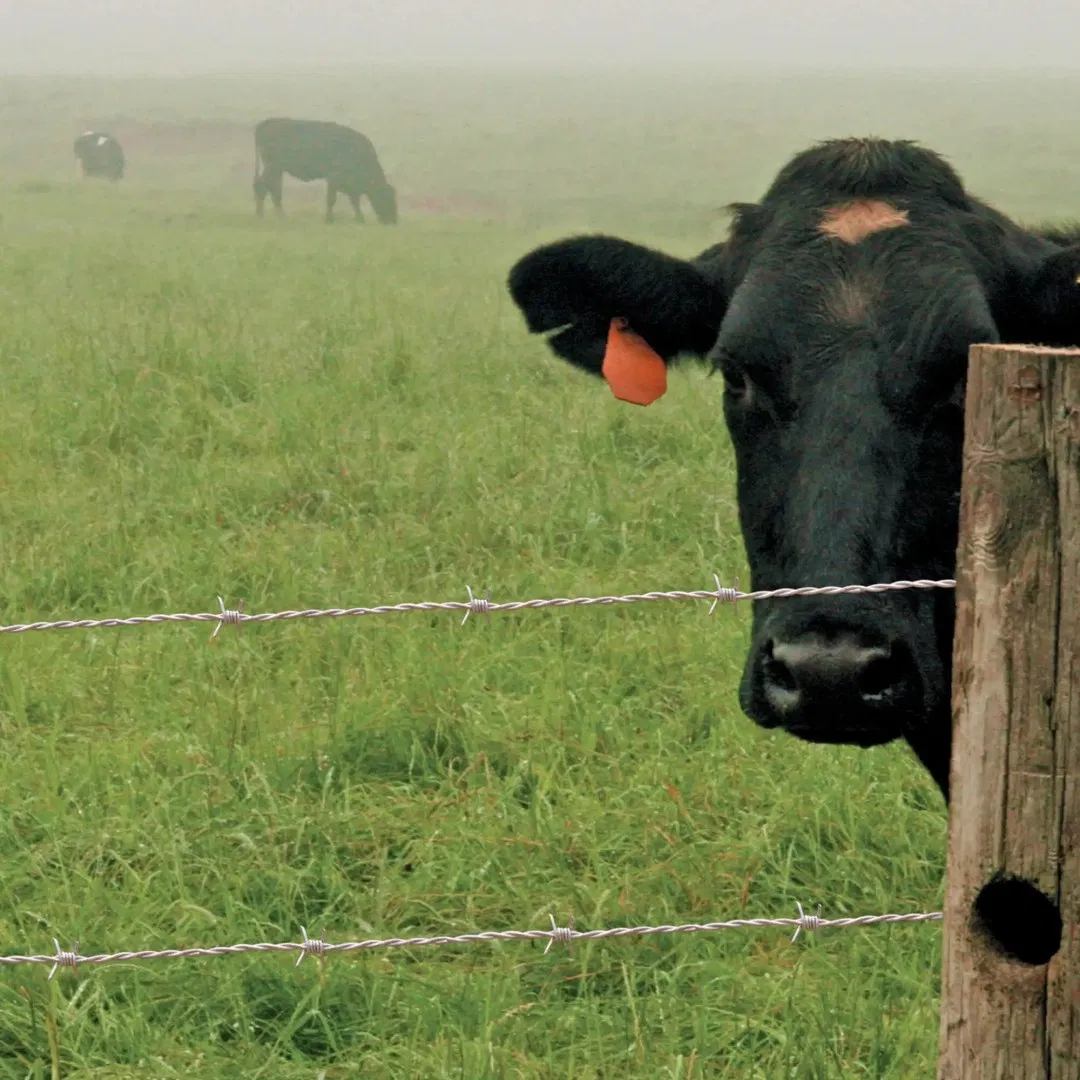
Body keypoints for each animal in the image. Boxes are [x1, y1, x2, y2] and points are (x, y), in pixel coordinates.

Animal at [252, 118, 398, 225]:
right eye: (387, 197)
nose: (393, 221)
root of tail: (266, 123)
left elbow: (354, 201)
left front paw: (359, 219)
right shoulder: (333, 179)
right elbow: (332, 200)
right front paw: (329, 220)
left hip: (276, 170)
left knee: (269, 188)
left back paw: (268, 215)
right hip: (273, 167)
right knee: (266, 187)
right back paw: (273, 216)